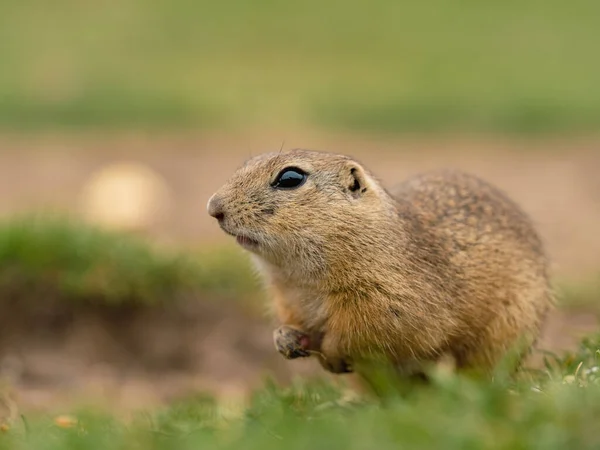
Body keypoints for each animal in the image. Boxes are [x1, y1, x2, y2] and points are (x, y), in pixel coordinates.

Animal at [209, 149, 556, 378]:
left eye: (290, 178)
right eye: (246, 163)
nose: (214, 208)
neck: (301, 279)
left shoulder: (386, 303)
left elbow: (361, 335)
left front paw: (331, 356)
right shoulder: (286, 298)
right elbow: (291, 323)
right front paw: (285, 339)